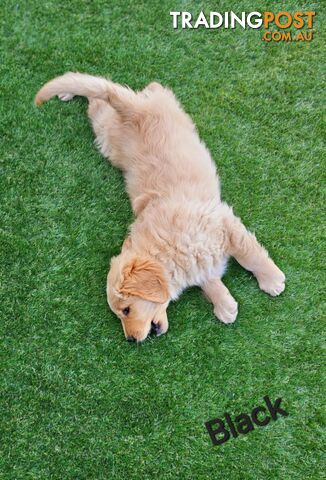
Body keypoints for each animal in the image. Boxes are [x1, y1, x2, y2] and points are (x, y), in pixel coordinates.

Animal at [35, 72, 286, 342]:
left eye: (126, 310)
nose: (131, 340)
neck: (169, 248)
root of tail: (131, 111)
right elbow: (208, 277)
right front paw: (224, 304)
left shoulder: (223, 224)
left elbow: (250, 255)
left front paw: (272, 279)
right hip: (107, 134)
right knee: (101, 98)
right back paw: (67, 92)